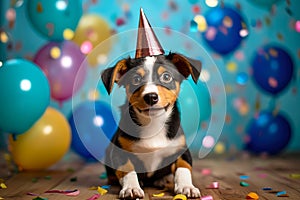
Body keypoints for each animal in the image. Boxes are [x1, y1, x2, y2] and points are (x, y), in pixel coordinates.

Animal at [101, 8, 202, 199]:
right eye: (135, 79)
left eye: (166, 77)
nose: (151, 97)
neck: (153, 123)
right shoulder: (119, 152)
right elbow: (128, 170)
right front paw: (131, 187)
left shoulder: (182, 150)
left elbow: (183, 169)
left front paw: (187, 186)